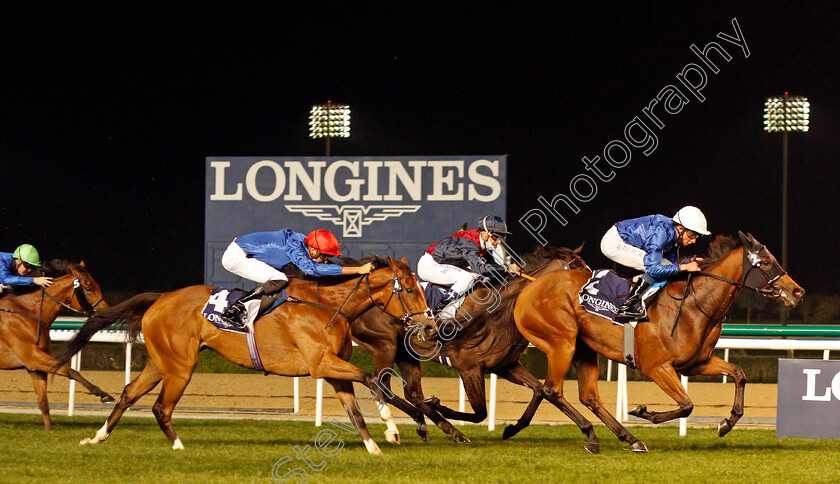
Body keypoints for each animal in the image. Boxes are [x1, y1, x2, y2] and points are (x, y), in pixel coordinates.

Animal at [0, 260, 112, 430]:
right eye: (88, 288)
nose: (107, 313)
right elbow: (72, 371)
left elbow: (43, 402)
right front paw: (103, 394)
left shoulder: (35, 366)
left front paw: (49, 430)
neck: (29, 312)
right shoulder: (32, 357)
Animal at [54, 258, 434, 454]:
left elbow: (354, 410)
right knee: (161, 406)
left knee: (129, 393)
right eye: (409, 288)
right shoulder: (321, 364)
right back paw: (178, 446)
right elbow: (374, 381)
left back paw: (98, 437)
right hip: (180, 366)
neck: (326, 305)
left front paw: (375, 446)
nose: (429, 327)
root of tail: (161, 298)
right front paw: (396, 429)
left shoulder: (332, 368)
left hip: (161, 361)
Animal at [344, 246, 588, 442]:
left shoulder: (506, 365)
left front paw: (512, 428)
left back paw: (431, 426)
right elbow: (480, 413)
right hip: (384, 346)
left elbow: (538, 390)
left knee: (411, 393)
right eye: (578, 269)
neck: (499, 311)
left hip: (405, 353)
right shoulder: (469, 368)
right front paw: (440, 406)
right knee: (382, 386)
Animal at [512, 233, 808, 452]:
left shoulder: (696, 363)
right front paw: (644, 412)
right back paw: (592, 435)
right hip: (561, 343)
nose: (797, 291)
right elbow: (687, 405)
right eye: (766, 262)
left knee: (588, 396)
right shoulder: (657, 367)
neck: (693, 306)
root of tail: (530, 288)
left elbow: (739, 374)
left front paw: (727, 422)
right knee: (551, 390)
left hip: (583, 349)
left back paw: (627, 439)